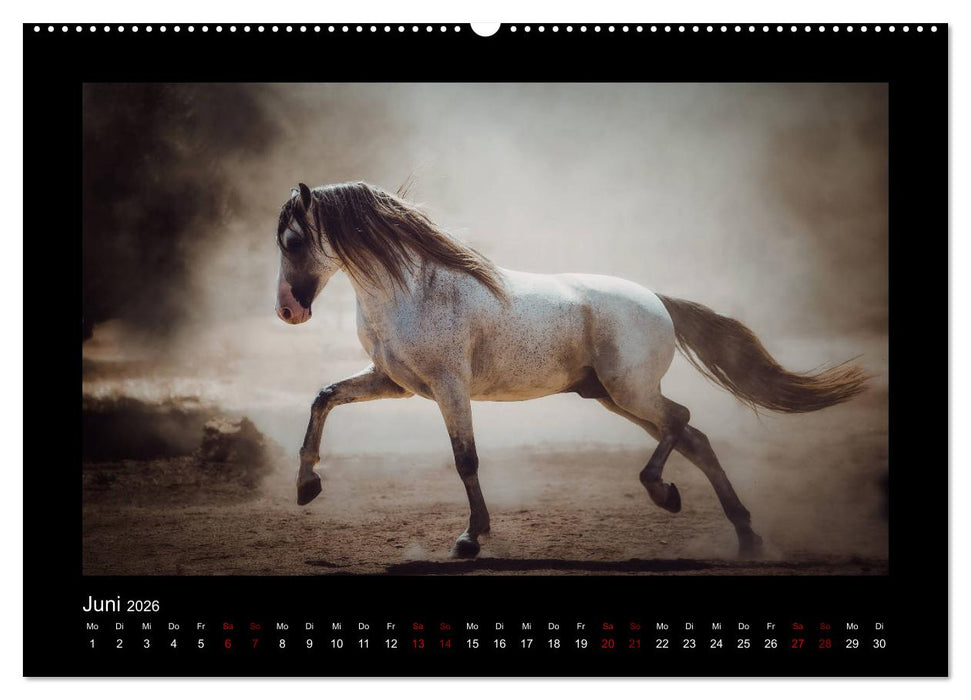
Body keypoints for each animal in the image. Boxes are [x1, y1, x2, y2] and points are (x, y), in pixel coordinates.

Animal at [274, 181, 867, 559]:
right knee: (695, 437)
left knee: (681, 420)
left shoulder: (449, 388)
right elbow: (324, 396)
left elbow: (466, 459)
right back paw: (744, 536)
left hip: (630, 392)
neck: (412, 289)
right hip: (611, 396)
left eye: (295, 241)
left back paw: (664, 493)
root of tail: (656, 299)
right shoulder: (395, 384)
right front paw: (307, 486)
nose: (288, 312)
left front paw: (470, 538)